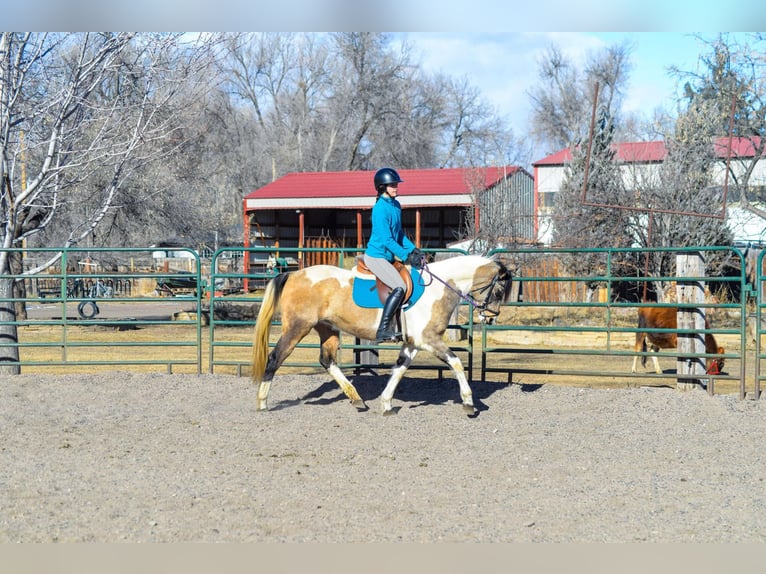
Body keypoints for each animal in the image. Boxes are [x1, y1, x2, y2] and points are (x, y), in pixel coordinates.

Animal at [254, 254, 516, 416]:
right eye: (499, 290)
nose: (491, 318)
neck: (438, 288)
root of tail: (293, 275)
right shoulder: (429, 340)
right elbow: (457, 363)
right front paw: (469, 403)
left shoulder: (412, 344)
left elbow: (399, 369)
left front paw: (387, 403)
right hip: (298, 327)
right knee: (275, 358)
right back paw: (263, 403)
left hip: (327, 329)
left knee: (327, 361)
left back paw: (357, 399)